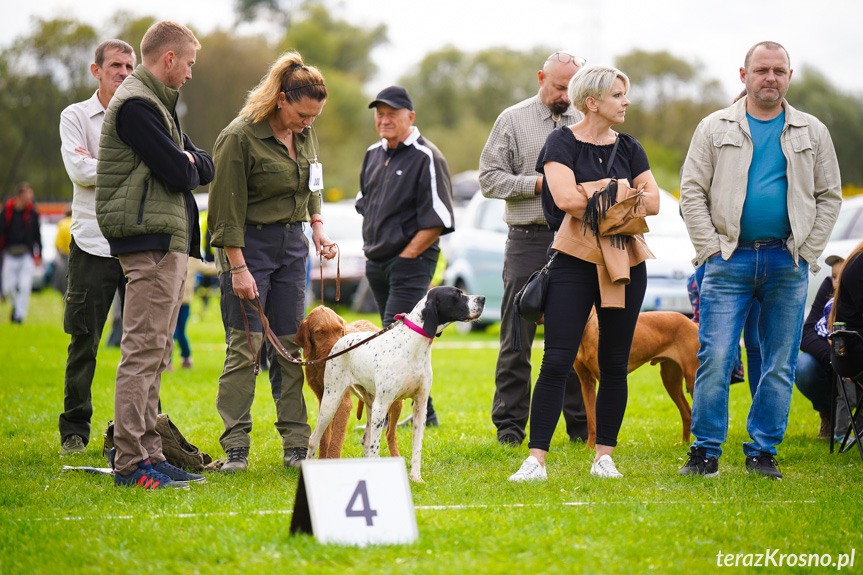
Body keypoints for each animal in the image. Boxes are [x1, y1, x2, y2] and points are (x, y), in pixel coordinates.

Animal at [294, 306, 402, 460]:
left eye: (339, 330)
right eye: (320, 332)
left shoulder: (343, 403)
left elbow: (335, 440)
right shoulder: (324, 399)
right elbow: (324, 437)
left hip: (395, 401)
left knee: (390, 433)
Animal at [308, 286, 486, 482]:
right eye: (457, 294)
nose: (483, 298)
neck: (414, 346)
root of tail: (342, 339)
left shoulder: (420, 406)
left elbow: (417, 448)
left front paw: (416, 477)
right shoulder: (382, 405)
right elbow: (376, 447)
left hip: (371, 404)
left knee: (366, 440)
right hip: (332, 402)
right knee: (314, 439)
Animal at [572, 312, 704, 448]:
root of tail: (692, 323)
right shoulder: (586, 382)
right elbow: (591, 421)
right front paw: (589, 448)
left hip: (692, 377)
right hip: (670, 379)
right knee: (687, 412)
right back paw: (684, 444)